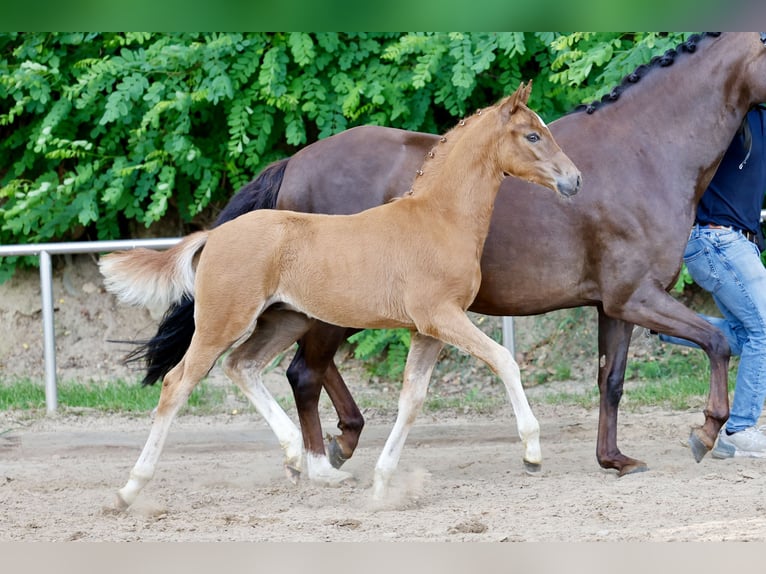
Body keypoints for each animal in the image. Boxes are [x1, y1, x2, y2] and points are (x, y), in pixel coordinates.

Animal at [100, 82, 581, 508]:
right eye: (533, 135)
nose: (574, 180)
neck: (438, 219)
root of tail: (212, 236)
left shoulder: (427, 330)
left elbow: (411, 399)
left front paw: (383, 484)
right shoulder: (442, 316)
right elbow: (503, 360)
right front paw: (532, 453)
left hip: (284, 319)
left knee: (243, 366)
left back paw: (298, 457)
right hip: (223, 322)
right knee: (178, 383)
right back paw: (129, 490)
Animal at [124, 33, 766, 480]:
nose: (572, 182)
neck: (644, 150)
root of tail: (296, 162)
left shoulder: (615, 305)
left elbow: (611, 380)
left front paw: (615, 459)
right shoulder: (637, 297)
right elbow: (719, 340)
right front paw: (707, 432)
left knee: (296, 370)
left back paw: (332, 446)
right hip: (329, 312)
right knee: (302, 373)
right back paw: (329, 454)